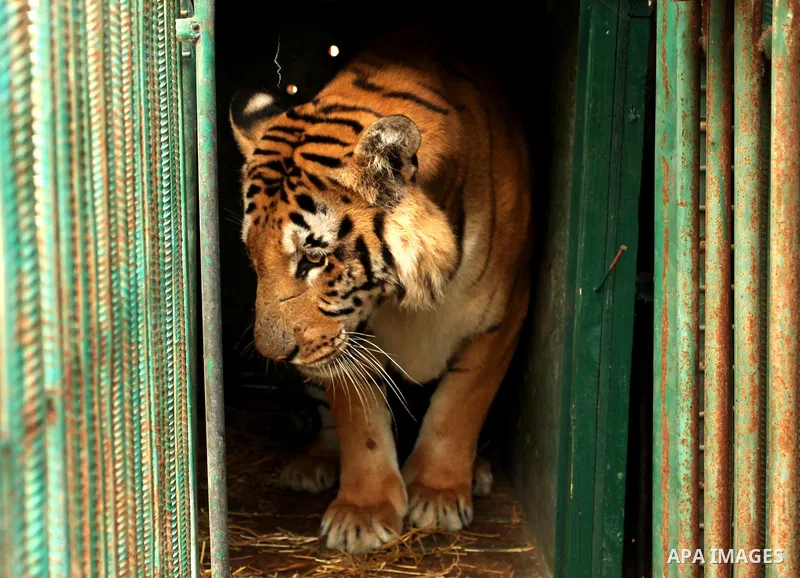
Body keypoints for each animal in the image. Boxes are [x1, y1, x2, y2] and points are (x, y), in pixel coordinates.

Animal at [228, 28, 532, 554]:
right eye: (253, 255)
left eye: (314, 258)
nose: (275, 356)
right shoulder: (346, 338)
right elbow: (360, 423)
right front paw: (363, 515)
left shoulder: (504, 313)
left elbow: (461, 403)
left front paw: (437, 493)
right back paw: (310, 464)